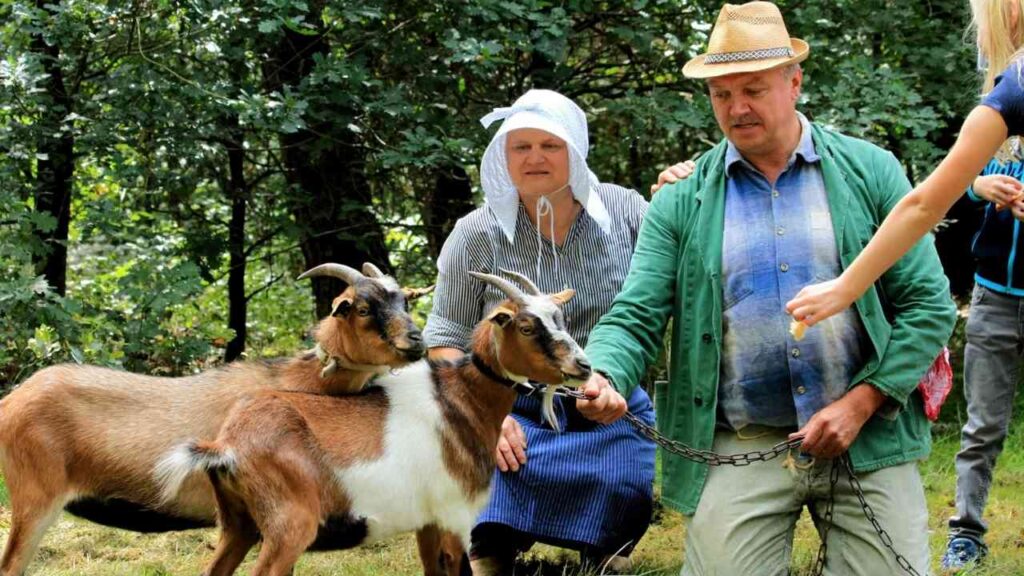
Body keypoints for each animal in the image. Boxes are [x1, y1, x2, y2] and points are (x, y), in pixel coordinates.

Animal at [0, 263, 426, 576]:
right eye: (362, 308)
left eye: (404, 301)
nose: (417, 340)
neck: (294, 381)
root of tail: (10, 402)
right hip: (35, 500)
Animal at [157, 271, 592, 576]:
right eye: (526, 326)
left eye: (560, 318)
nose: (583, 367)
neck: (460, 401)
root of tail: (226, 446)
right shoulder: (455, 514)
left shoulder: (427, 520)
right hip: (289, 527)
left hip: (238, 525)